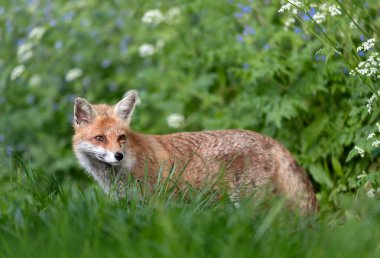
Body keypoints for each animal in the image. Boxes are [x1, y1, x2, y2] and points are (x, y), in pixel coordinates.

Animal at [72, 90, 320, 214]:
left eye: (121, 138)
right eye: (100, 138)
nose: (118, 156)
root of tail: (268, 138)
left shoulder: (154, 203)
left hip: (248, 202)